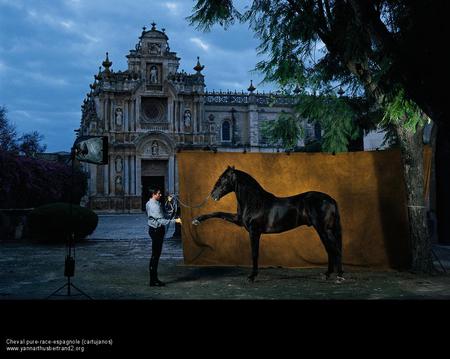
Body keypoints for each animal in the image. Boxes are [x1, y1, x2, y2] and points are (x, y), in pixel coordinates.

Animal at [192, 167, 342, 282]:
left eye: (223, 179)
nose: (213, 195)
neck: (254, 201)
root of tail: (331, 200)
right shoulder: (238, 220)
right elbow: (219, 213)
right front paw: (197, 220)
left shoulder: (254, 232)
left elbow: (254, 253)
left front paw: (252, 276)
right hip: (325, 230)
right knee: (330, 249)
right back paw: (328, 274)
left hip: (323, 229)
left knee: (334, 249)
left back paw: (339, 277)